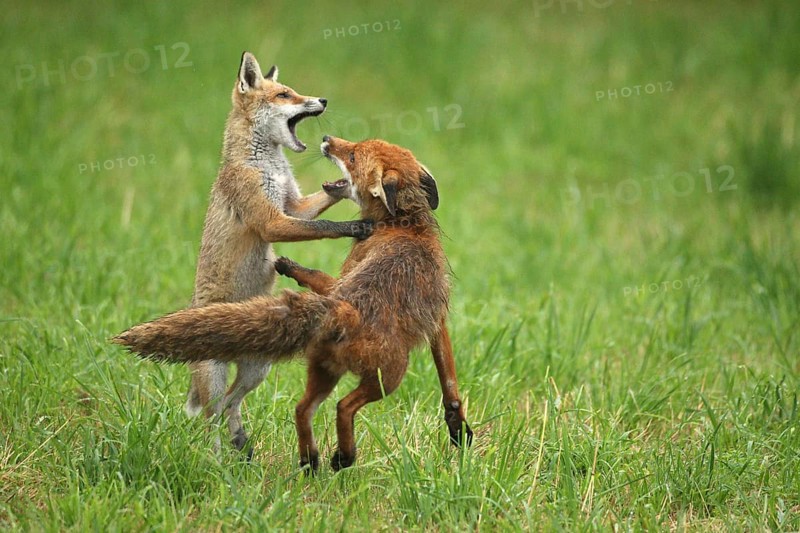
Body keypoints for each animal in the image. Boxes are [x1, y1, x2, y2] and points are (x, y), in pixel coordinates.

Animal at [115, 136, 473, 472]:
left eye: (352, 155)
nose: (327, 139)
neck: (406, 225)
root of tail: (346, 309)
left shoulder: (417, 312)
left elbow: (449, 384)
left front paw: (457, 426)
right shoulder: (431, 317)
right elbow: (448, 378)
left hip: (338, 371)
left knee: (306, 409)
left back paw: (312, 460)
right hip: (387, 377)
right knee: (341, 407)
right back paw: (341, 456)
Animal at [182, 52, 371, 454]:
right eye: (285, 95)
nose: (323, 99)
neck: (266, 165)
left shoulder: (291, 205)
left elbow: (315, 209)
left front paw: (344, 183)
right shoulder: (271, 221)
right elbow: (323, 228)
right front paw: (357, 227)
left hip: (258, 369)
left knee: (231, 404)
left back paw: (241, 445)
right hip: (216, 376)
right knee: (211, 417)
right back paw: (216, 458)